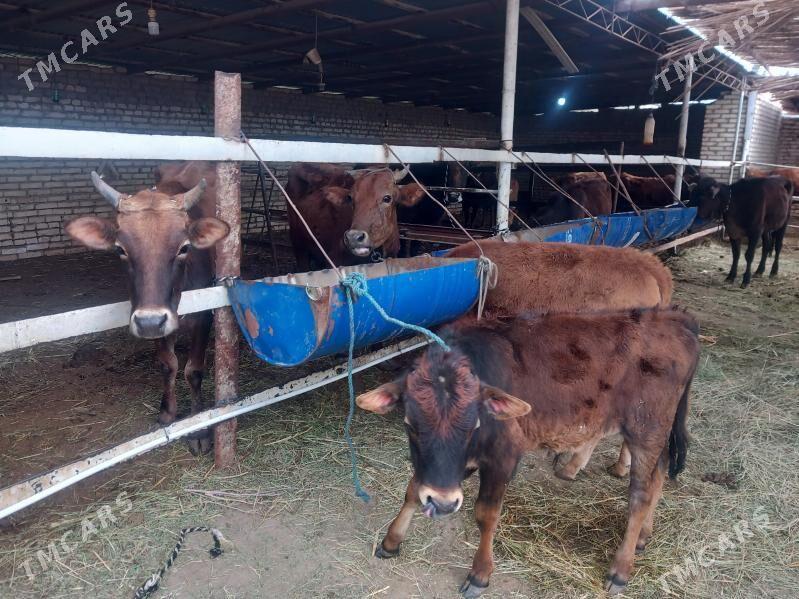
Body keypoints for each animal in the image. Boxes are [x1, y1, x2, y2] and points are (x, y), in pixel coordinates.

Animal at [65, 162, 230, 453]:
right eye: (120, 249)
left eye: (184, 247)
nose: (151, 322)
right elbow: (168, 365)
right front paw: (167, 412)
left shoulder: (203, 317)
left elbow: (193, 371)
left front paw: (199, 428)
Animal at [358, 307, 699, 596]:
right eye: (410, 424)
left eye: (473, 425)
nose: (442, 505)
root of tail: (673, 318)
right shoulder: (441, 470)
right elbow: (413, 490)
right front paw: (391, 540)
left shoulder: (502, 457)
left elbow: (485, 514)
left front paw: (480, 574)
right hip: (656, 433)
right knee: (658, 477)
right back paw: (643, 536)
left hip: (646, 429)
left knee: (640, 495)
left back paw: (620, 569)